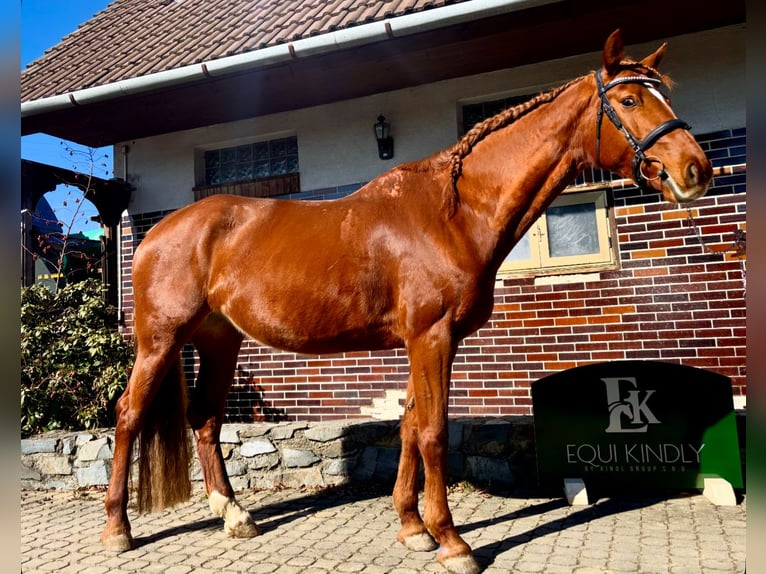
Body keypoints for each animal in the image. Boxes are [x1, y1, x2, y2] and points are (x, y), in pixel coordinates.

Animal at [100, 29, 711, 574]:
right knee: (128, 415)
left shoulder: (431, 341)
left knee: (204, 418)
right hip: (161, 341)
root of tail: (156, 233)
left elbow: (411, 427)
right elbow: (434, 432)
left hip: (218, 341)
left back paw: (234, 515)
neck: (453, 213)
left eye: (663, 94)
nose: (695, 171)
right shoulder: (431, 337)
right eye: (629, 100)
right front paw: (454, 544)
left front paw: (413, 529)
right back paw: (117, 531)